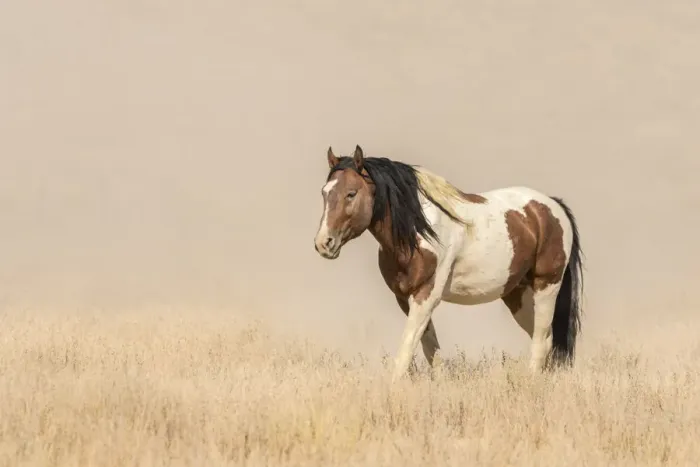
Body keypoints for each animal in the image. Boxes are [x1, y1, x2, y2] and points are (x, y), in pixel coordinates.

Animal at [314, 145, 584, 382]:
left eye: (351, 193)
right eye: (325, 192)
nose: (323, 243)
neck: (417, 233)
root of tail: (552, 206)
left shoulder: (426, 295)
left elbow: (407, 347)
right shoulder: (405, 298)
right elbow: (429, 347)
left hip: (546, 286)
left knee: (540, 339)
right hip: (517, 295)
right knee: (546, 338)